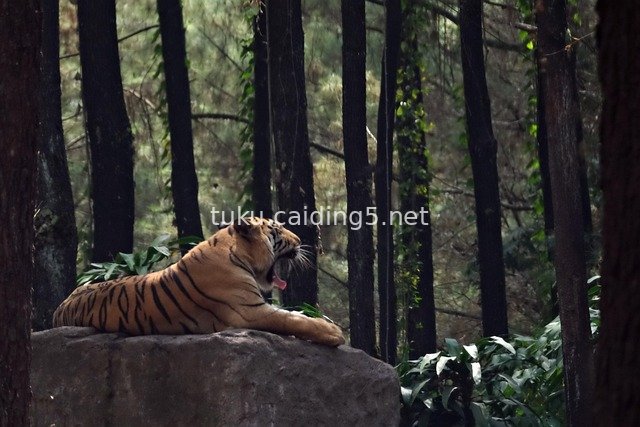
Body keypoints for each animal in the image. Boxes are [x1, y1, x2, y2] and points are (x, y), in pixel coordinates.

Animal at [52, 217, 345, 347]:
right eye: (277, 229)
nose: (300, 240)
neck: (235, 251)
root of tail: (59, 308)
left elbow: (295, 313)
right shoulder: (249, 312)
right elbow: (292, 320)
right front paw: (333, 332)